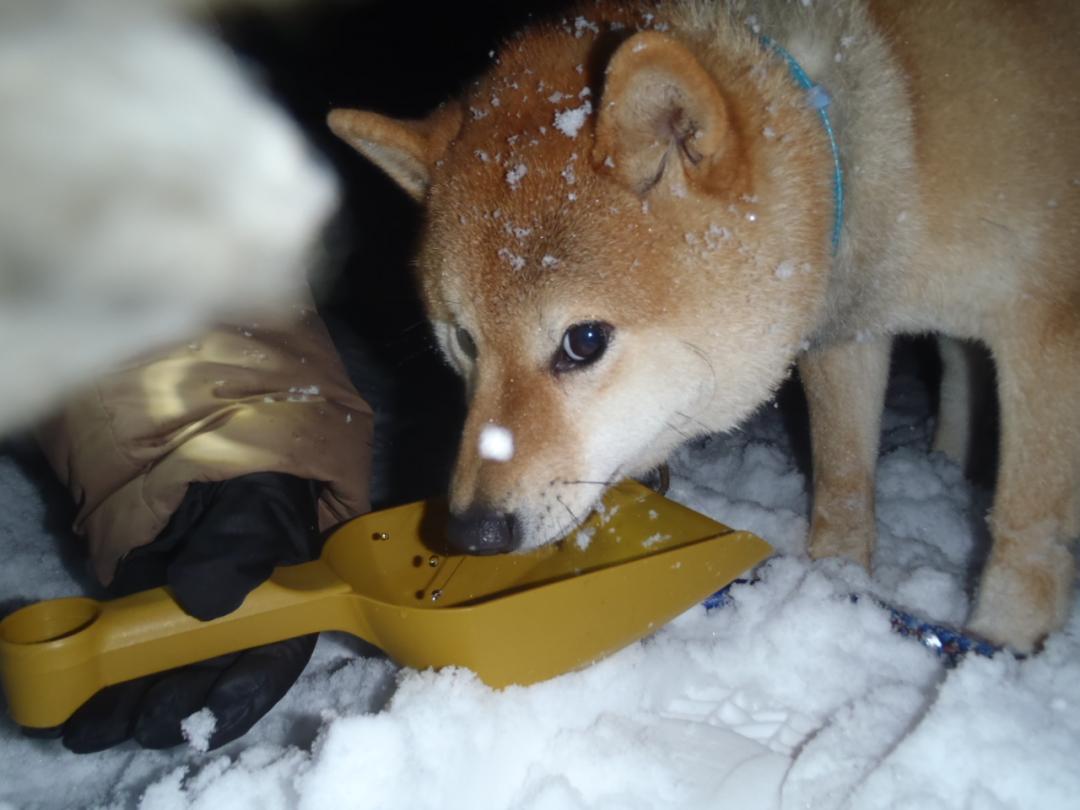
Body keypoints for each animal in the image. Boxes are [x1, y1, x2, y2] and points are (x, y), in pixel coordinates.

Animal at [330, 0, 1080, 652]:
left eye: (583, 342)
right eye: (464, 341)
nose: (472, 533)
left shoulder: (1046, 332)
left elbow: (1025, 518)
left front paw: (1006, 641)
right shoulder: (849, 331)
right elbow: (843, 482)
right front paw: (837, 585)